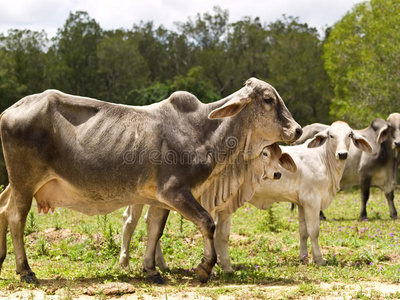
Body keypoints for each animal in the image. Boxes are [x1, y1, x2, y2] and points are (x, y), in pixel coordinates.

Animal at [119, 144, 296, 274]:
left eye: (279, 156)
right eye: (265, 153)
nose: (277, 174)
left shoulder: (225, 210)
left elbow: (223, 236)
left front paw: (227, 268)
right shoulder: (208, 206)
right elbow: (210, 232)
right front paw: (211, 269)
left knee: (150, 221)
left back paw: (160, 264)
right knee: (130, 221)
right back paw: (124, 262)